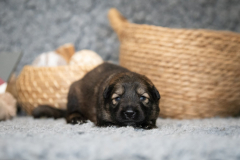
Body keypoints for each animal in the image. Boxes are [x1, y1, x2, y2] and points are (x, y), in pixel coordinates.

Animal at [32, 62, 160, 129]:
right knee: (69, 115)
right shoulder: (103, 120)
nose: (129, 113)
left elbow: (151, 121)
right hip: (74, 96)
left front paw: (147, 124)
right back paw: (77, 119)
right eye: (117, 98)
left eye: (143, 97)